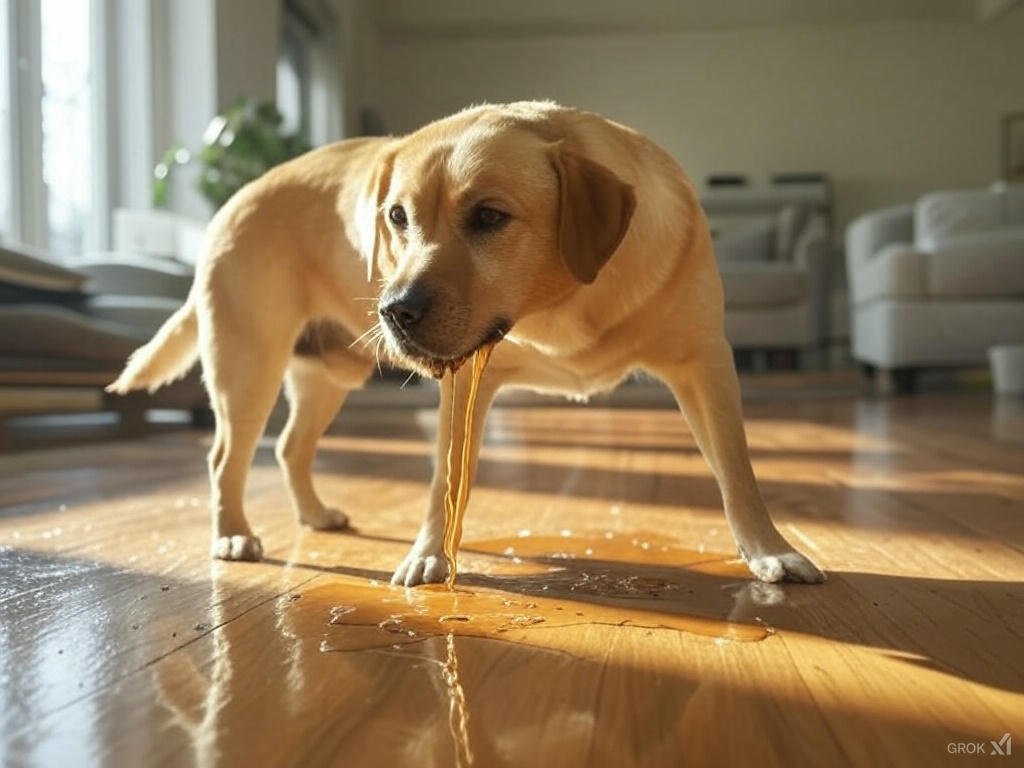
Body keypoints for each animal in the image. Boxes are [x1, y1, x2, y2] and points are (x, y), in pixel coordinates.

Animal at [108, 99, 823, 585]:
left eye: (489, 216)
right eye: (396, 217)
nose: (394, 310)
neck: (560, 305)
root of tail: (234, 198)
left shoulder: (706, 363)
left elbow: (737, 470)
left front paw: (771, 550)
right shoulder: (463, 382)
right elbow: (444, 481)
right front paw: (429, 556)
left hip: (326, 377)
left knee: (287, 448)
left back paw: (313, 514)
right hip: (247, 364)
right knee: (223, 457)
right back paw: (233, 535)